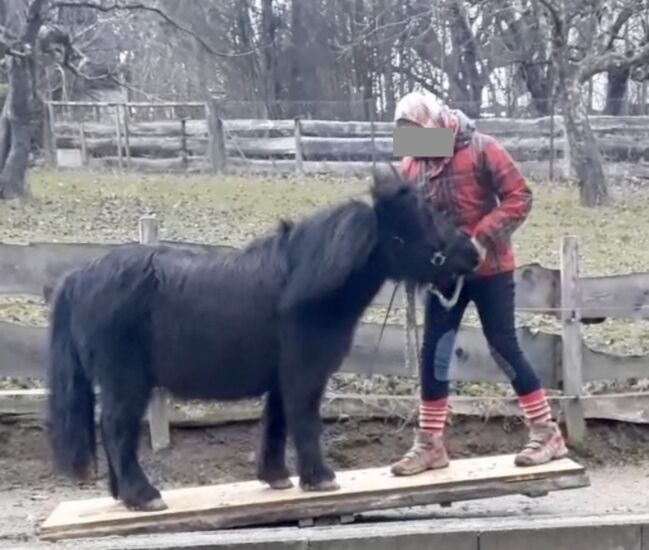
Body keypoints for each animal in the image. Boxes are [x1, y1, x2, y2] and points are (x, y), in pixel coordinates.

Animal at [44, 168, 476, 512]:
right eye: (424, 219)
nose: (473, 252)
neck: (302, 286)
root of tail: (78, 278)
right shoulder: (304, 373)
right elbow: (304, 419)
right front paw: (320, 477)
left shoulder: (282, 377)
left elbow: (278, 421)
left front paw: (277, 476)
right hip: (125, 382)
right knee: (117, 430)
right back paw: (143, 495)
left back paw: (123, 495)